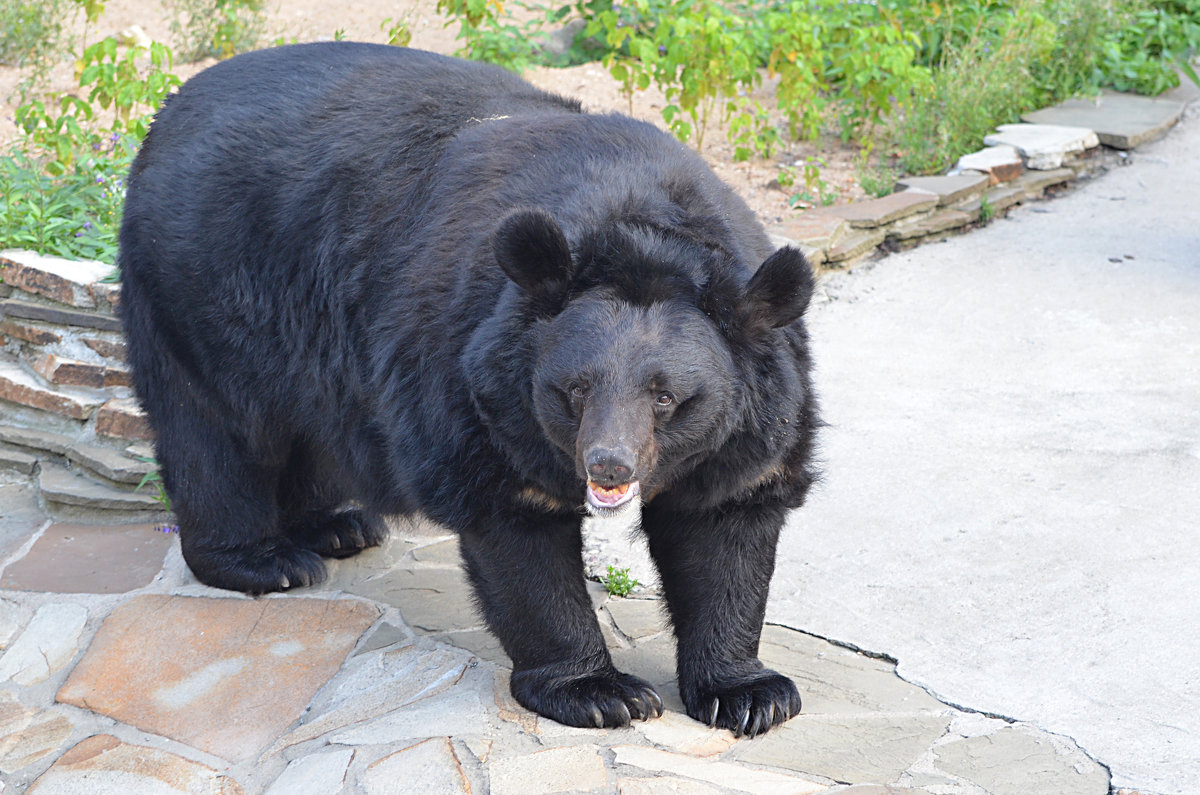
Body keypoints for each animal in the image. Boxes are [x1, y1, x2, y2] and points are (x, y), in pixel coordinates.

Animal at [119, 42, 816, 739]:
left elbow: (725, 523)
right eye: (574, 389)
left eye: (665, 397)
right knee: (216, 426)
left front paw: (750, 694)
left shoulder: (754, 416)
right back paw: (264, 559)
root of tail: (171, 107)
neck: (639, 232)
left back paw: (337, 527)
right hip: (206, 281)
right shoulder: (476, 383)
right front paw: (600, 692)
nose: (609, 466)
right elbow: (514, 525)